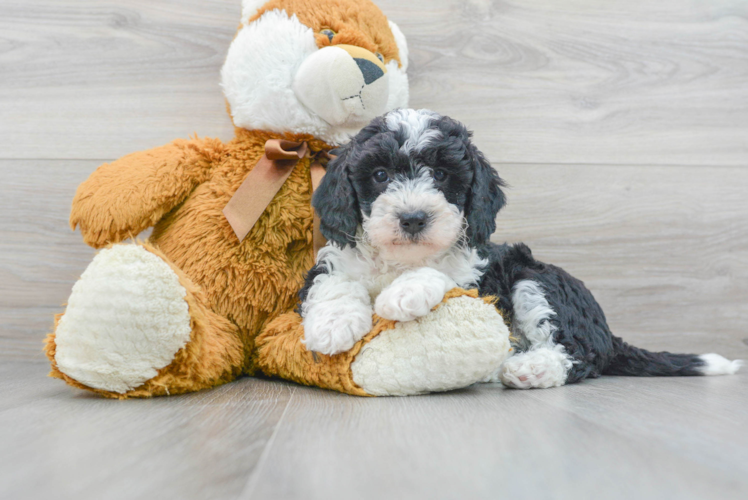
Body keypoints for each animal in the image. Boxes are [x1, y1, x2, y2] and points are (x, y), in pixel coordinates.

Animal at [298, 109, 744, 388]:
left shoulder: (479, 277)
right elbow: (333, 282)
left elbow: (442, 274)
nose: (413, 218)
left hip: (536, 280)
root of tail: (608, 332)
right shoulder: (333, 262)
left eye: (441, 174)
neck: (401, 258)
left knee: (576, 354)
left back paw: (529, 368)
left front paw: (404, 292)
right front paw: (332, 326)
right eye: (379, 175)